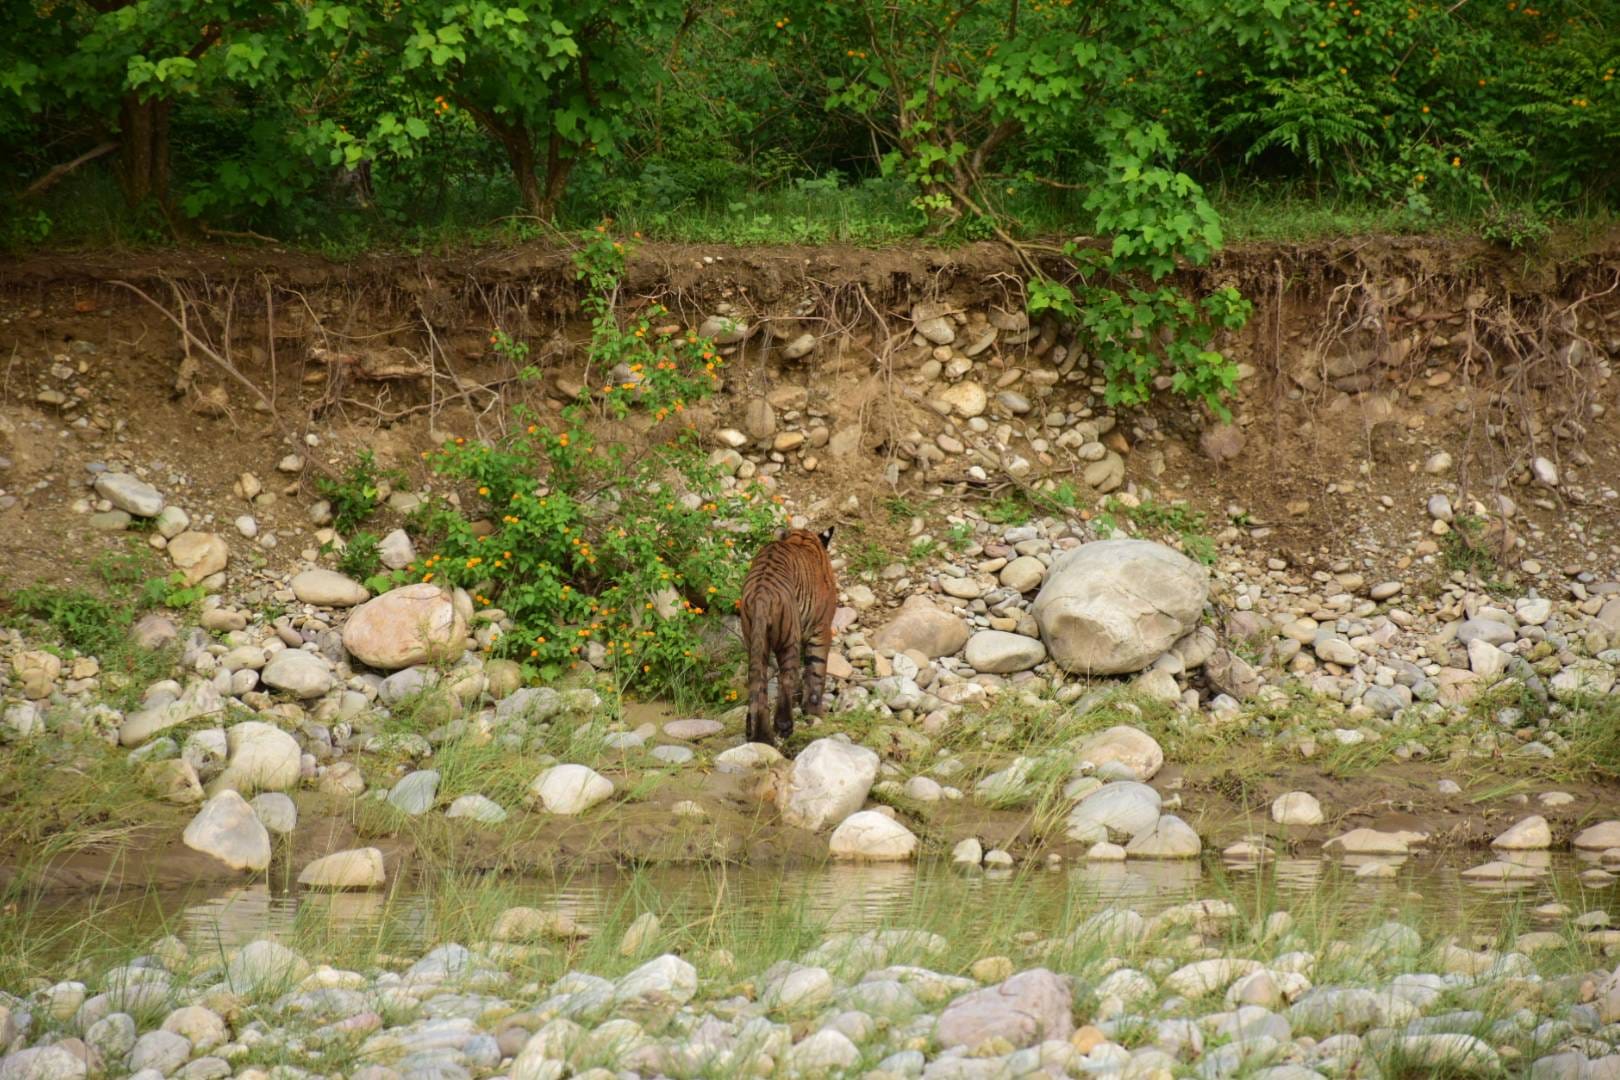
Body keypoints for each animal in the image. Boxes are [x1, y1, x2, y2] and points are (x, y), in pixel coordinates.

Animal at [739, 526, 838, 747]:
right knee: (786, 679)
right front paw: (814, 712)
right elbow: (816, 672)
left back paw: (761, 737)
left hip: (755, 641)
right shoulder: (821, 628)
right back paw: (784, 726)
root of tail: (761, 593)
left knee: (758, 687)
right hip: (789, 639)